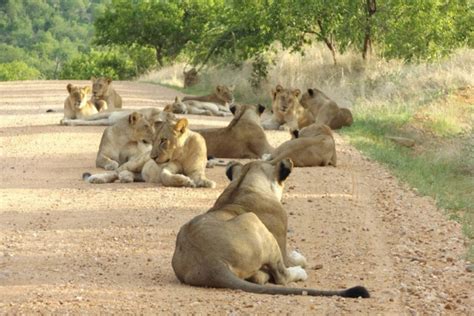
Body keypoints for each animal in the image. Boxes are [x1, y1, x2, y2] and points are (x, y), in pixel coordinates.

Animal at [83, 118, 215, 188]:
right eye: (154, 140)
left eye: (163, 140)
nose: (153, 157)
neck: (182, 154)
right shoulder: (166, 168)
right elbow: (165, 176)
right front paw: (185, 181)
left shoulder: (196, 170)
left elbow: (200, 176)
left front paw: (207, 182)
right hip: (137, 161)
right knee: (117, 171)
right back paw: (97, 178)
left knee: (129, 173)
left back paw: (126, 177)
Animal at [170, 159, 370, 298]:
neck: (243, 185)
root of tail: (211, 264)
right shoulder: (282, 246)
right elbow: (296, 260)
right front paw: (299, 258)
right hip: (255, 223)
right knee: (281, 276)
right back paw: (298, 273)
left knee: (260, 277)